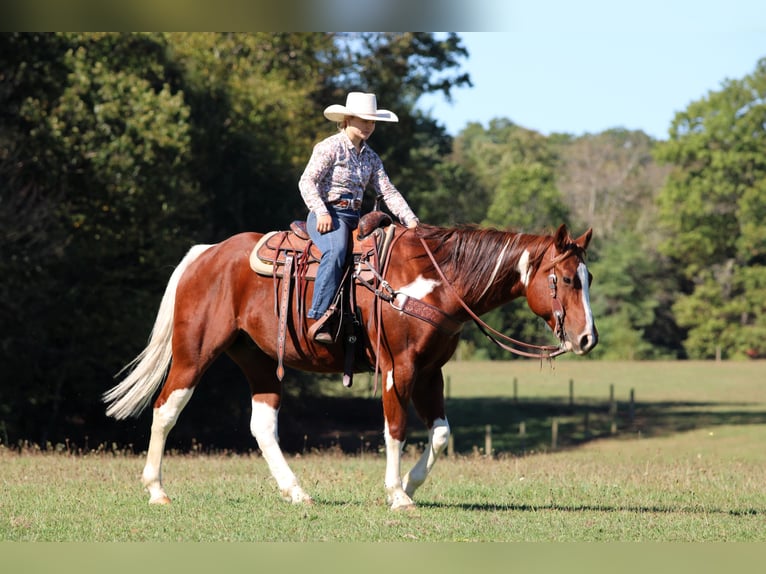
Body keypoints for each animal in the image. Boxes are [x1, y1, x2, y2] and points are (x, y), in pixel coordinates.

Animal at [103, 222, 597, 510]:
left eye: (588, 277)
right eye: (565, 278)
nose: (587, 338)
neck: (431, 284)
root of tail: (206, 254)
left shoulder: (430, 373)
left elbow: (440, 434)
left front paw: (411, 486)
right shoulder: (400, 368)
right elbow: (395, 429)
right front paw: (397, 495)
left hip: (258, 360)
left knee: (262, 425)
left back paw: (296, 492)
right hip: (194, 352)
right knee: (166, 409)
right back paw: (156, 491)